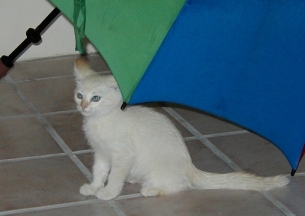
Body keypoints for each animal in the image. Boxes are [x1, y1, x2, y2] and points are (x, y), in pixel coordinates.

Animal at [73, 58, 288, 200]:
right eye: (79, 95)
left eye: (96, 98)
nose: (83, 106)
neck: (102, 120)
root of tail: (190, 168)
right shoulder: (101, 152)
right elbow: (99, 171)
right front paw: (93, 187)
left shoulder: (123, 154)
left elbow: (115, 176)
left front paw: (108, 192)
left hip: (159, 171)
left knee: (180, 186)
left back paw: (151, 189)